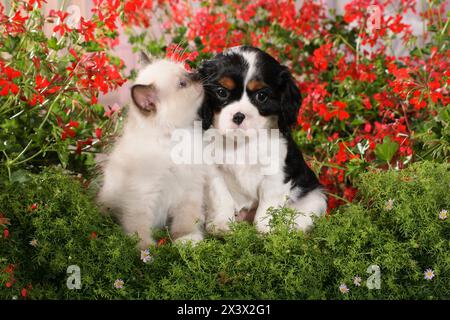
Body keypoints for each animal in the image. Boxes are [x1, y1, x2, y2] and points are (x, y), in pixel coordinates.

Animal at [99, 57, 205, 249]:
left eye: (186, 69)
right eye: (183, 83)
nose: (199, 73)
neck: (173, 138)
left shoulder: (189, 187)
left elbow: (186, 220)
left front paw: (187, 239)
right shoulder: (141, 195)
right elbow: (138, 229)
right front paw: (146, 250)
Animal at [199, 45, 326, 234]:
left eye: (261, 96)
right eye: (221, 92)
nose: (239, 116)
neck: (241, 143)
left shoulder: (276, 171)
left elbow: (268, 202)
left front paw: (266, 228)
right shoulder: (213, 171)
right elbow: (221, 197)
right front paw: (222, 224)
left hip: (316, 196)